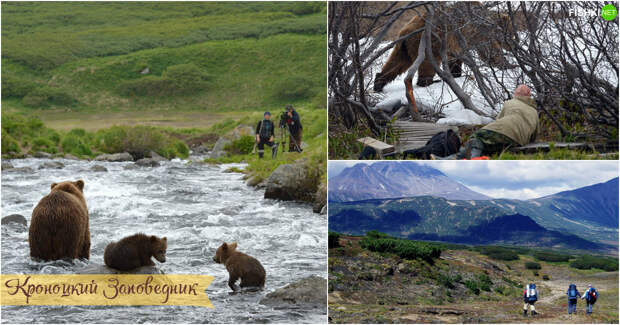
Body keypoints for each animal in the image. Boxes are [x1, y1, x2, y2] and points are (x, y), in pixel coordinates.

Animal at [372, 2, 512, 91]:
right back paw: (429, 81)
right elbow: (489, 51)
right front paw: (508, 64)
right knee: (427, 64)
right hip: (427, 44)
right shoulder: (478, 32)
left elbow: (455, 58)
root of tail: (405, 31)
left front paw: (456, 72)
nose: (512, 46)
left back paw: (378, 83)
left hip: (404, 46)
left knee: (396, 63)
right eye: (511, 35)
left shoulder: (455, 42)